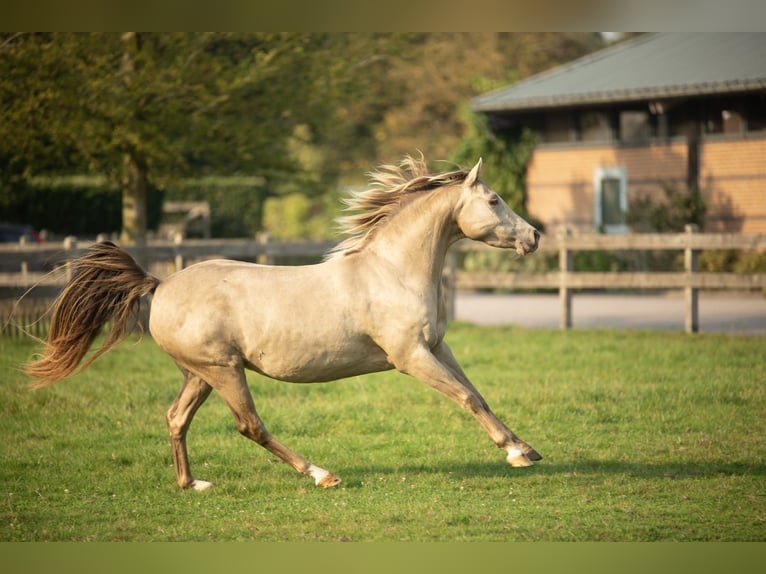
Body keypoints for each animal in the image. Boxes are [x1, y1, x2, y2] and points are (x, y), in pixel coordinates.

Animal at [24, 156, 540, 490]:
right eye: (494, 200)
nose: (534, 236)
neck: (392, 271)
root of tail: (160, 284)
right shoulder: (409, 356)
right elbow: (465, 398)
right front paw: (516, 454)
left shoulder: (436, 348)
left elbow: (477, 393)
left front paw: (527, 448)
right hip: (224, 370)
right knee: (250, 426)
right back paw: (321, 474)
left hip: (200, 374)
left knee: (176, 418)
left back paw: (192, 484)